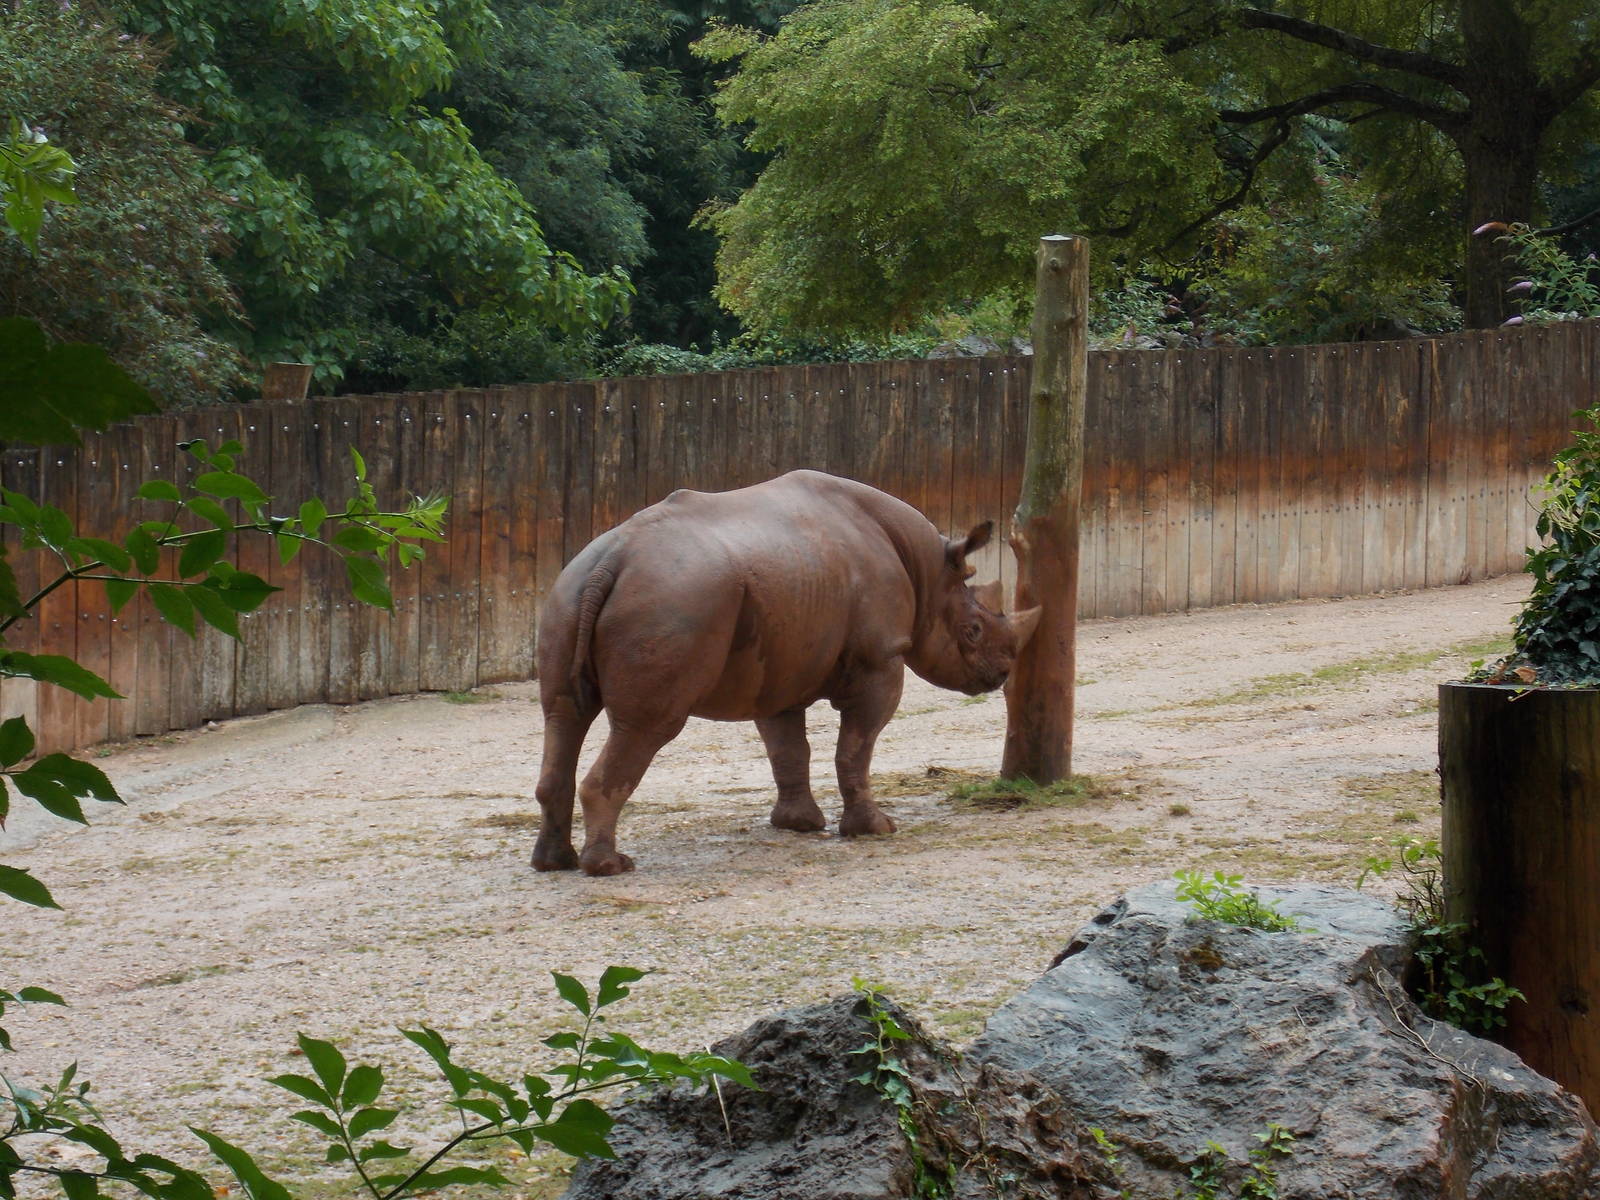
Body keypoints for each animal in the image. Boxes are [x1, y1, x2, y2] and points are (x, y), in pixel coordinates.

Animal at [532, 469, 1042, 876]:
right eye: (973, 630)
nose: (1001, 673)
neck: (928, 571)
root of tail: (611, 560)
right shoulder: (879, 658)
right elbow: (855, 749)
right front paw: (875, 829)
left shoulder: (778, 666)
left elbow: (788, 749)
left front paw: (799, 825)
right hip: (669, 601)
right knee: (644, 727)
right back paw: (609, 867)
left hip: (570, 593)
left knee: (563, 715)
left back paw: (554, 863)